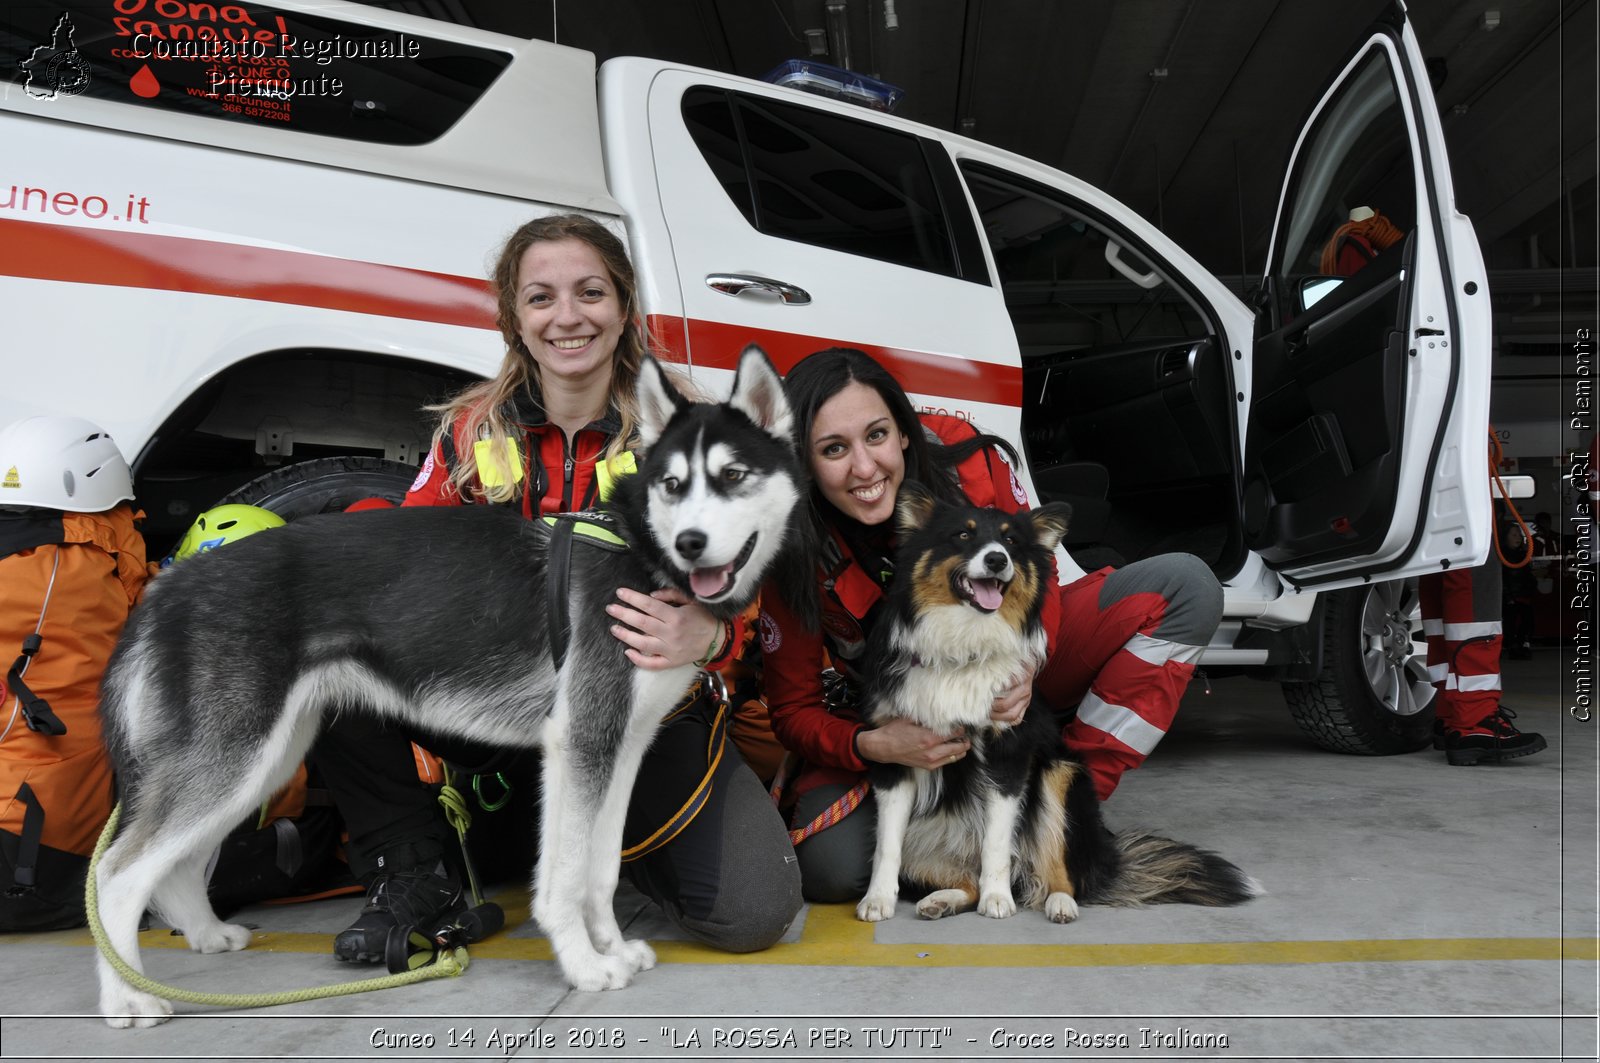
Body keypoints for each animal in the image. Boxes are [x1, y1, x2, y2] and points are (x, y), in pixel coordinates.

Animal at [93, 344, 806, 1024]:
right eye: (672, 484)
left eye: (733, 477)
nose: (690, 543)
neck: (640, 549)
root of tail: (172, 581)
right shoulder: (579, 747)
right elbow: (564, 877)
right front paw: (583, 966)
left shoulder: (618, 750)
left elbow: (599, 872)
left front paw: (610, 947)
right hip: (236, 760)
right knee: (117, 875)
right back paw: (127, 999)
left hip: (261, 762)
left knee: (179, 864)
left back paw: (204, 935)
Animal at [857, 486, 1254, 928]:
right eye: (963, 535)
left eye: (1012, 542)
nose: (997, 560)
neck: (965, 645)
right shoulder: (895, 751)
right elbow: (887, 843)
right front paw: (878, 899)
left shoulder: (1010, 754)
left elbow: (996, 841)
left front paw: (998, 899)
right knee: (967, 877)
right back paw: (941, 900)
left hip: (1060, 777)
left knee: (1058, 871)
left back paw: (1060, 903)